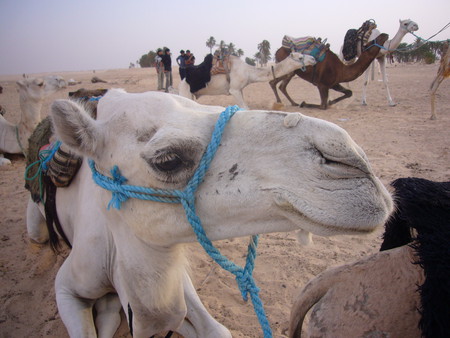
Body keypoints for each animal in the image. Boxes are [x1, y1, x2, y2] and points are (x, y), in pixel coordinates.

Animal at [179, 52, 316, 109]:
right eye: (300, 57)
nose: (314, 59)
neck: (248, 72)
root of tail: (183, 79)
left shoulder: (240, 90)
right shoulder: (234, 89)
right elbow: (245, 108)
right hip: (185, 91)